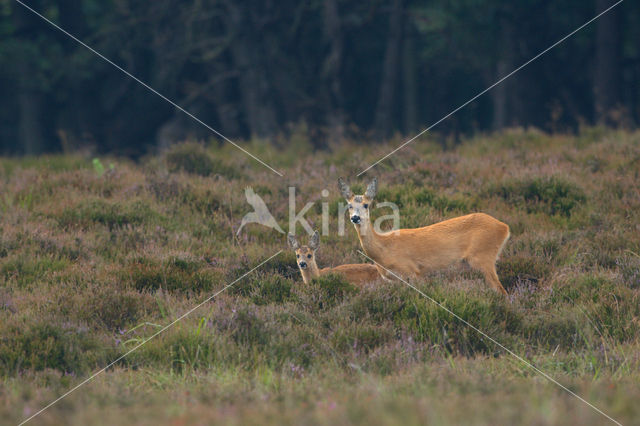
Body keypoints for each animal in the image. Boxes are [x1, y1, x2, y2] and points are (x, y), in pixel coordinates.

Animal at [336, 178, 510, 294]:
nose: (355, 218)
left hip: (483, 257)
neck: (384, 249)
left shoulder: (413, 271)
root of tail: (504, 227)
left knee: (501, 291)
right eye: (349, 205)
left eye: (366, 204)